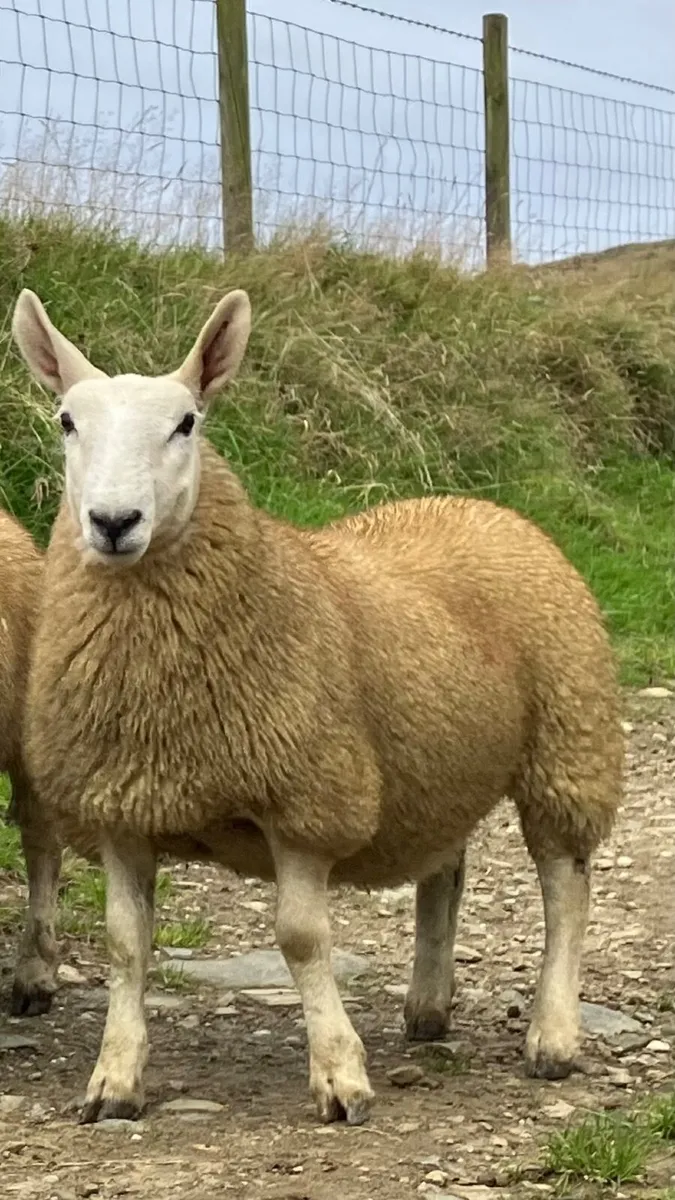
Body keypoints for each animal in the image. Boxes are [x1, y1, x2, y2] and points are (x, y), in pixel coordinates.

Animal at [11, 285, 624, 1127]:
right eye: (67, 420)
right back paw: (427, 1005)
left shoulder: (304, 796)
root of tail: (476, 505)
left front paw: (338, 1075)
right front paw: (114, 1080)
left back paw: (552, 1035)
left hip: (567, 738)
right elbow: (125, 945)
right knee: (446, 868)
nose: (112, 522)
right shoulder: (123, 805)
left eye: (187, 422)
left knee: (565, 885)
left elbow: (300, 939)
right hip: (433, 757)